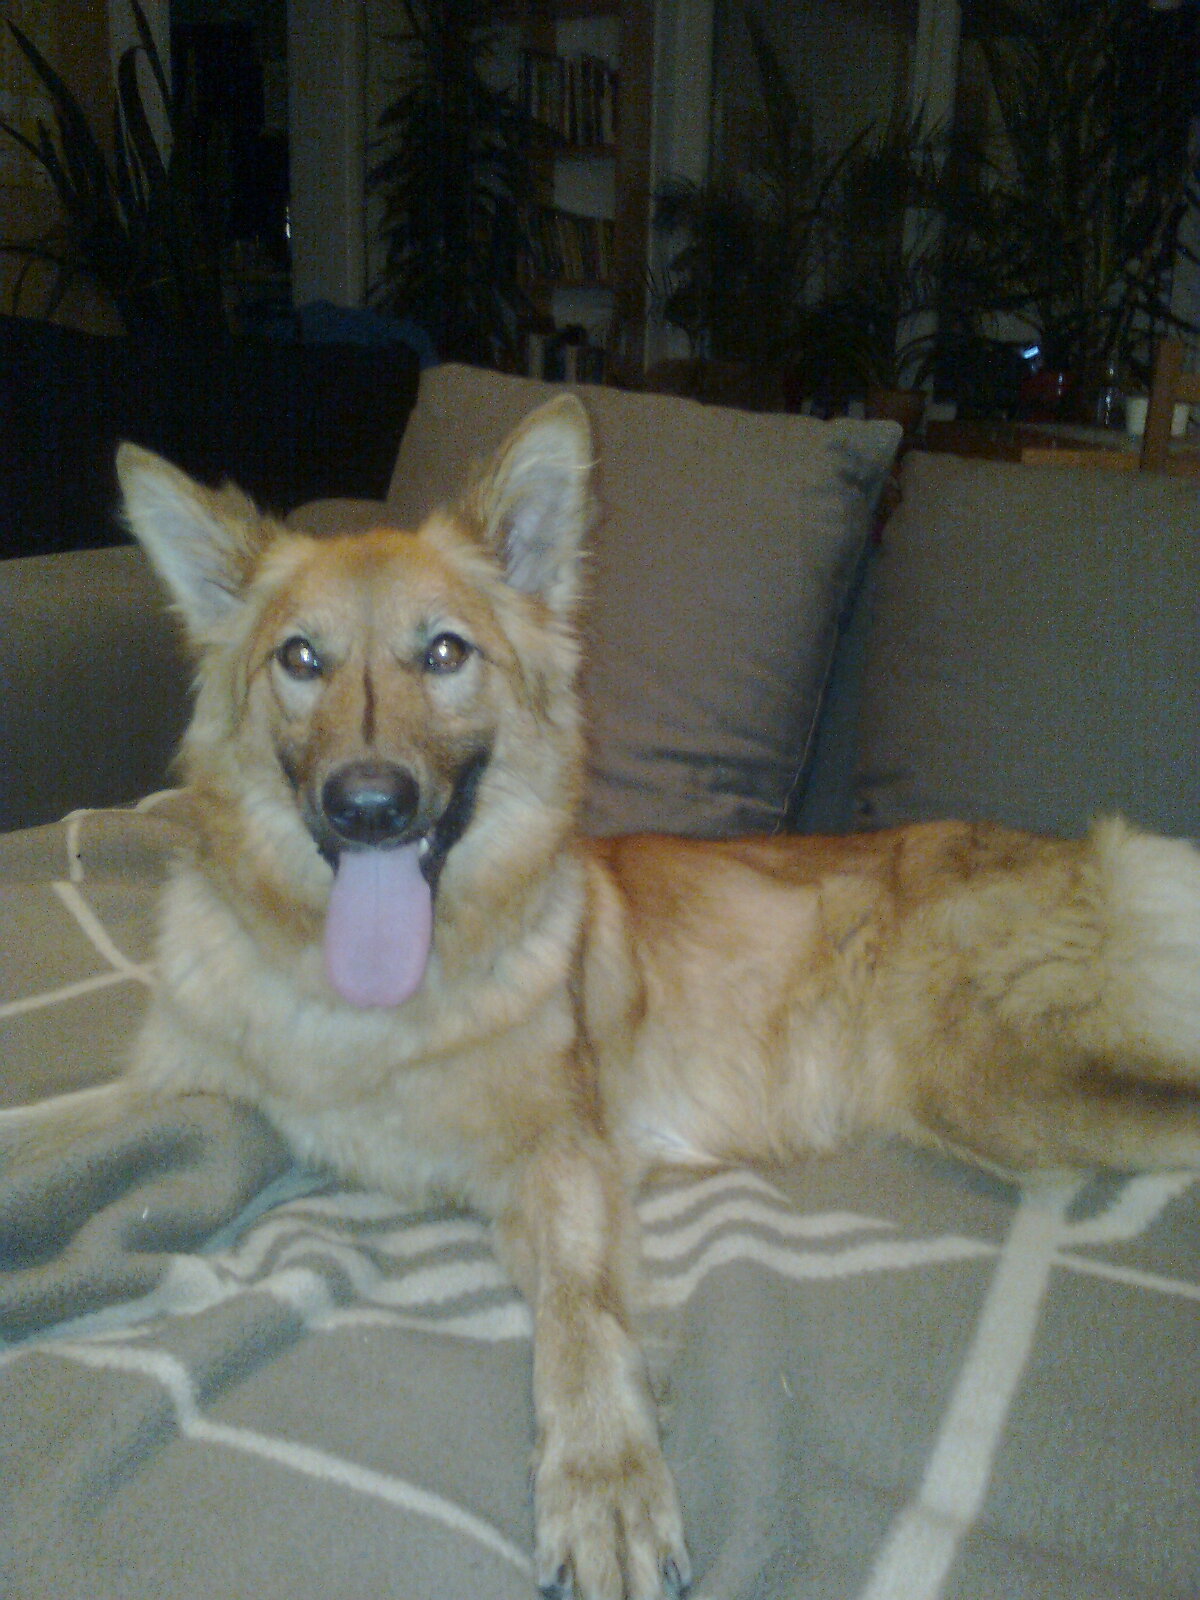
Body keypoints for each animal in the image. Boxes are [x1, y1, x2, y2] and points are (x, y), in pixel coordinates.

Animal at [8, 394, 1199, 1599]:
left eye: (445, 652)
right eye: (301, 658)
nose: (370, 806)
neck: (362, 1009)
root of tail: (1094, 850)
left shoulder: (563, 1156)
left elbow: (580, 1320)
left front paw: (603, 1482)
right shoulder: (169, 1086)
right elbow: (39, 1126)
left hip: (1002, 1085)